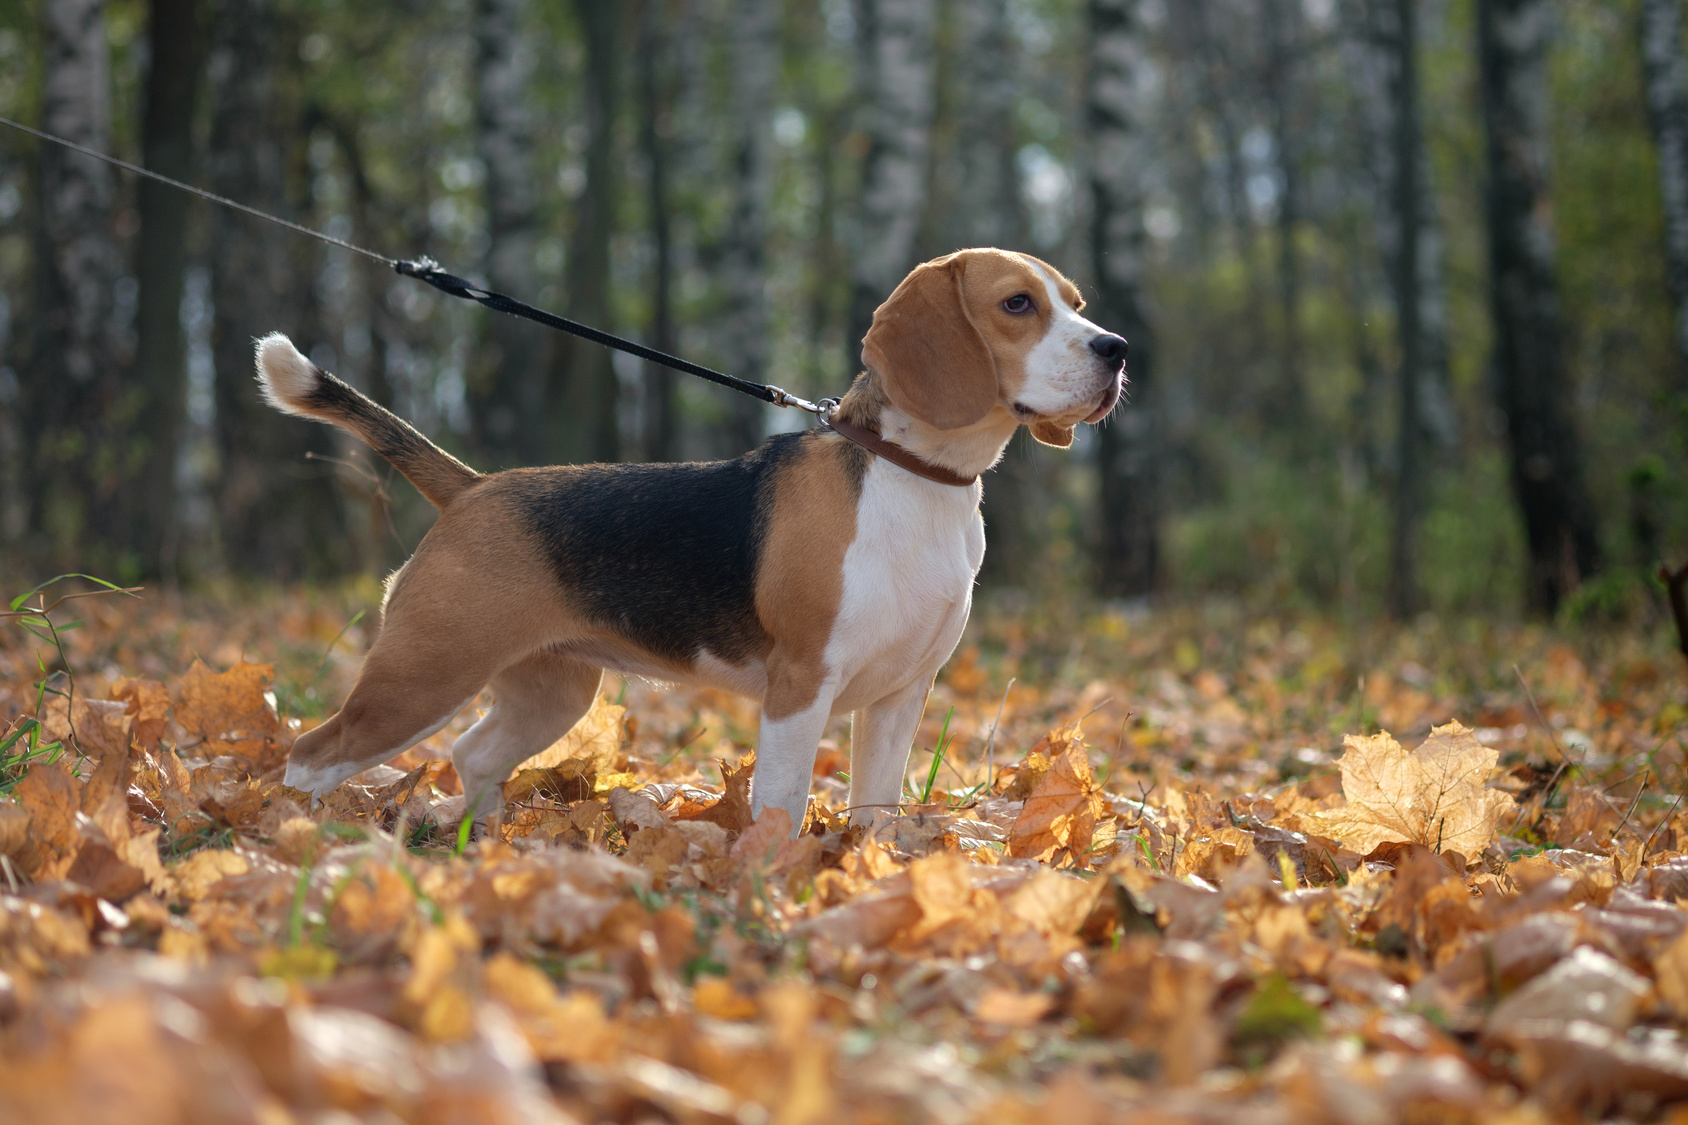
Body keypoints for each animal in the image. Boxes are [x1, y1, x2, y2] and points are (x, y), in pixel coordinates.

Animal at [259, 248, 1120, 824]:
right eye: (1017, 304)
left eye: (1076, 302)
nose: (1117, 349)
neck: (917, 476)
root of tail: (473, 486)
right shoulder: (801, 686)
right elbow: (780, 805)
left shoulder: (901, 695)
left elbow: (877, 810)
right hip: (421, 677)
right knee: (311, 756)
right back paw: (298, 842)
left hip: (553, 691)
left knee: (471, 754)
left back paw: (486, 840)